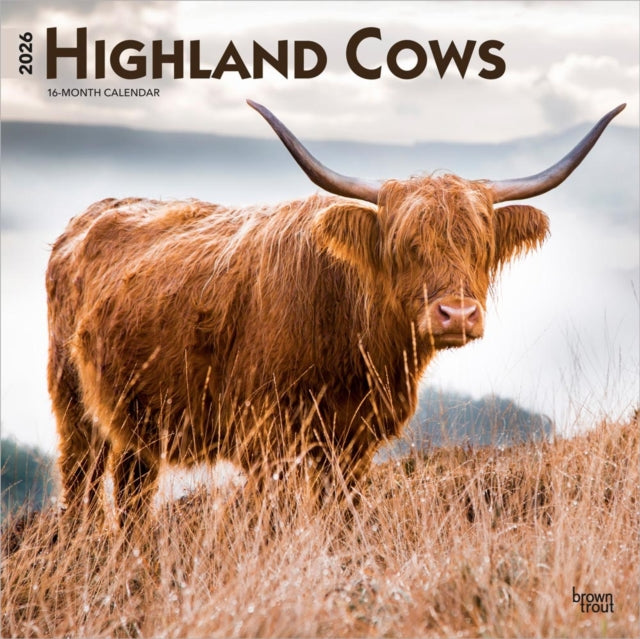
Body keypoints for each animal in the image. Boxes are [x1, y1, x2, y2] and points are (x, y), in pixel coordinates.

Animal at [47, 101, 625, 524]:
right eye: (405, 245)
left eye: (480, 246)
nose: (457, 315)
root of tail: (87, 217)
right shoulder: (268, 439)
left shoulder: (354, 444)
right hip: (74, 406)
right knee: (81, 485)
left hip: (136, 422)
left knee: (133, 489)